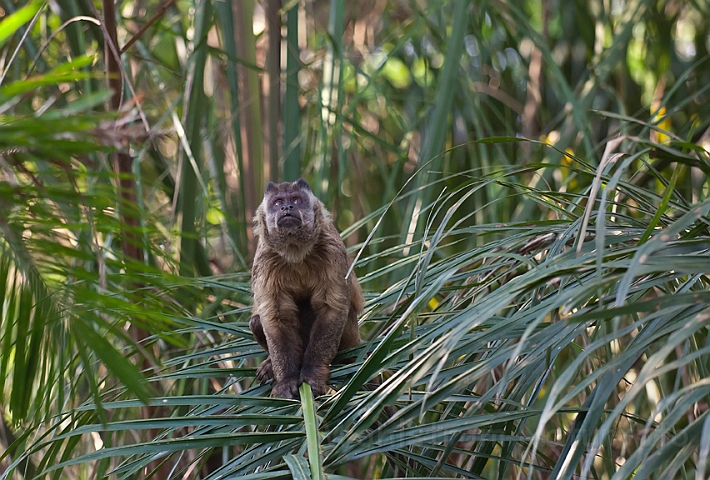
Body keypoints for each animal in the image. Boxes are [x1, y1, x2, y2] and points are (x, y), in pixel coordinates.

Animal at [250, 178, 364, 400]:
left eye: (296, 200)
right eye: (277, 202)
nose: (287, 207)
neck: (295, 251)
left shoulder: (332, 252)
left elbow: (331, 309)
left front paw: (312, 374)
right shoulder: (266, 260)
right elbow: (276, 317)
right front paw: (286, 379)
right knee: (257, 321)